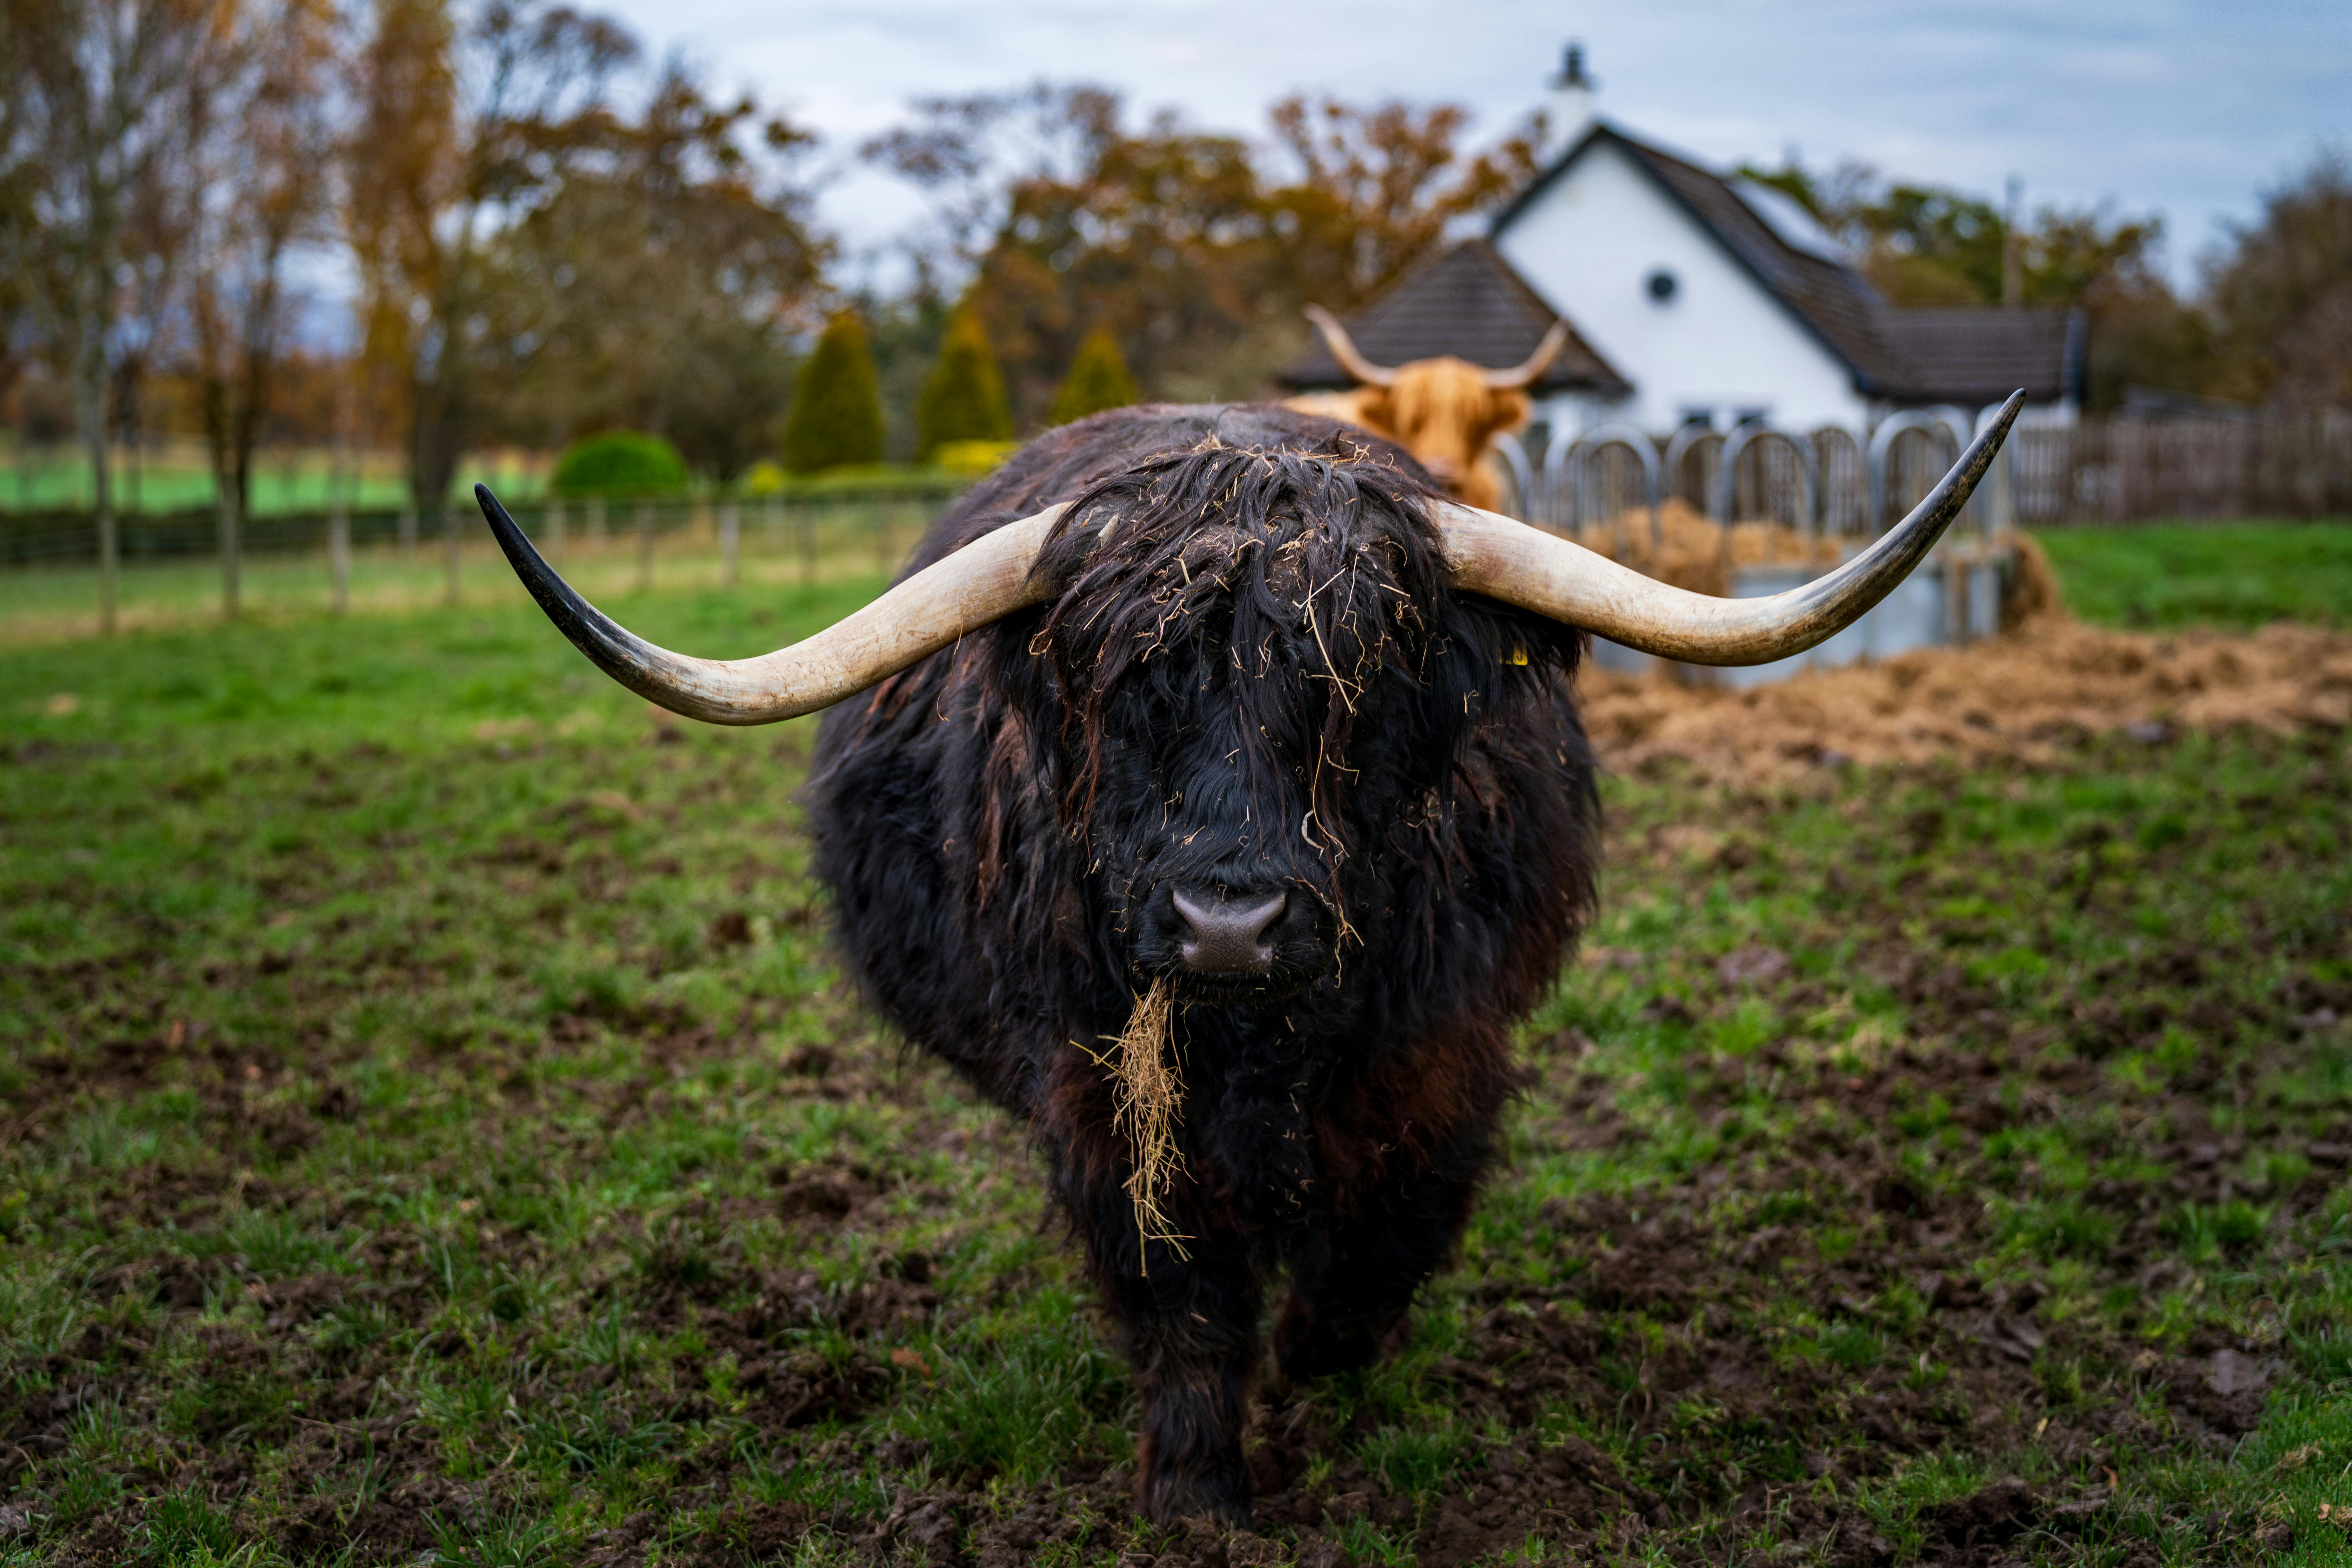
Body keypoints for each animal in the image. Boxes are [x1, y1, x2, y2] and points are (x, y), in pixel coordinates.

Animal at [477, 395, 2022, 1533]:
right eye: (1118, 685)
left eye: (1360, 687)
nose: (1227, 920)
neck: (1258, 1048)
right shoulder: (1102, 1099)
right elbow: (1179, 1297)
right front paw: (1198, 1494)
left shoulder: (1436, 1067)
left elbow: (1367, 1269)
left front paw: (1309, 1414)